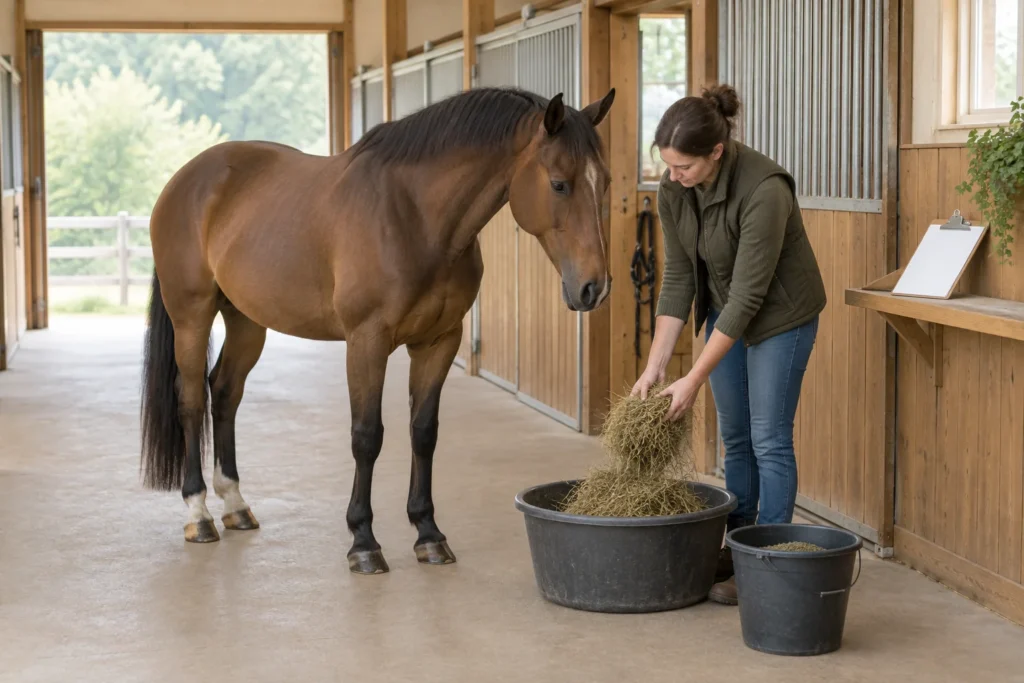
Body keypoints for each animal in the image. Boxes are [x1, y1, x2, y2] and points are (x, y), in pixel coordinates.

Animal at [139, 85, 616, 575]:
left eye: (606, 182)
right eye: (559, 183)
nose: (593, 288)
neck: (414, 217)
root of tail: (185, 180)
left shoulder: (439, 342)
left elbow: (423, 431)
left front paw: (428, 534)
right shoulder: (366, 341)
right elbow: (367, 436)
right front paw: (363, 542)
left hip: (247, 321)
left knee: (225, 392)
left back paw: (235, 504)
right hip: (192, 315)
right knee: (192, 400)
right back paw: (199, 514)